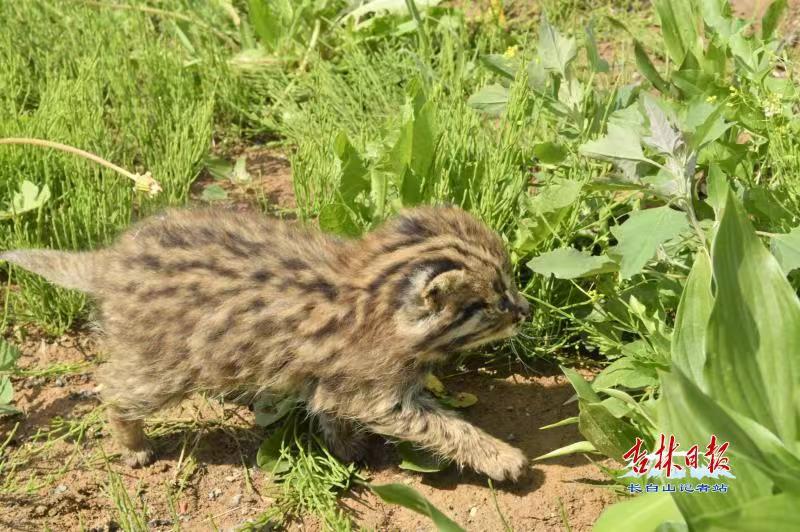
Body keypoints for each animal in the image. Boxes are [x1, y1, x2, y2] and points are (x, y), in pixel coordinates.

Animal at [6, 206, 536, 480]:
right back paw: (131, 443)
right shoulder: (376, 390)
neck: (372, 295)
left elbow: (328, 408)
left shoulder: (335, 380)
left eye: (510, 284)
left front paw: (344, 446)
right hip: (162, 363)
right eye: (492, 302)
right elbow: (441, 426)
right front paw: (499, 457)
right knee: (114, 389)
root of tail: (107, 265)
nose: (526, 311)